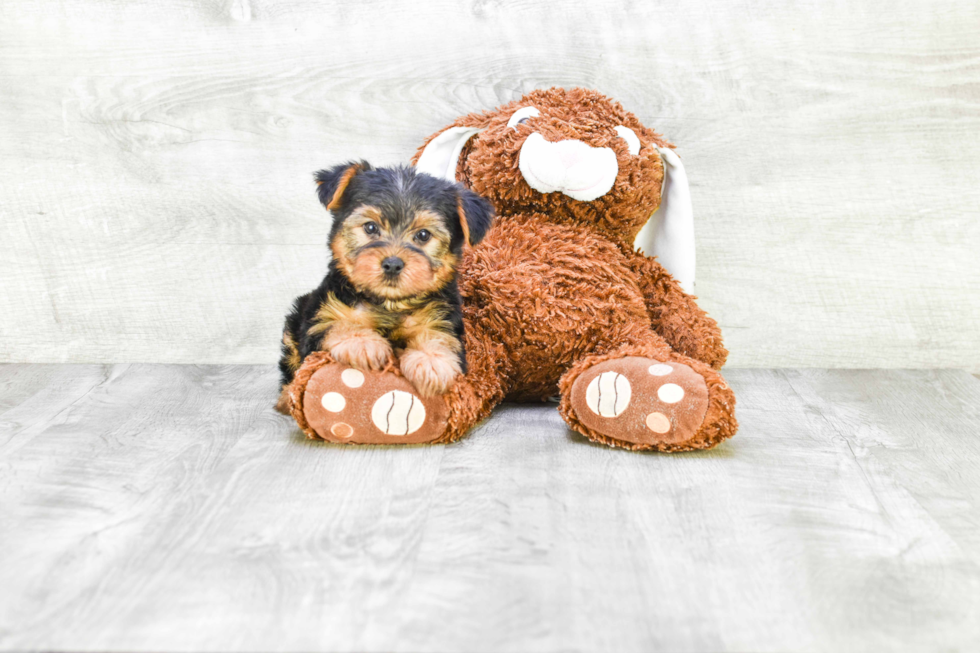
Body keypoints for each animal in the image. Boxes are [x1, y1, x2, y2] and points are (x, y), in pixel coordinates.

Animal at [276, 160, 494, 410]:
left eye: (423, 235)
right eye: (370, 227)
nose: (392, 264)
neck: (390, 303)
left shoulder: (443, 317)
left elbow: (441, 337)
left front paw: (431, 361)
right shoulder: (320, 316)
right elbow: (335, 324)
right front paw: (361, 342)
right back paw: (286, 397)